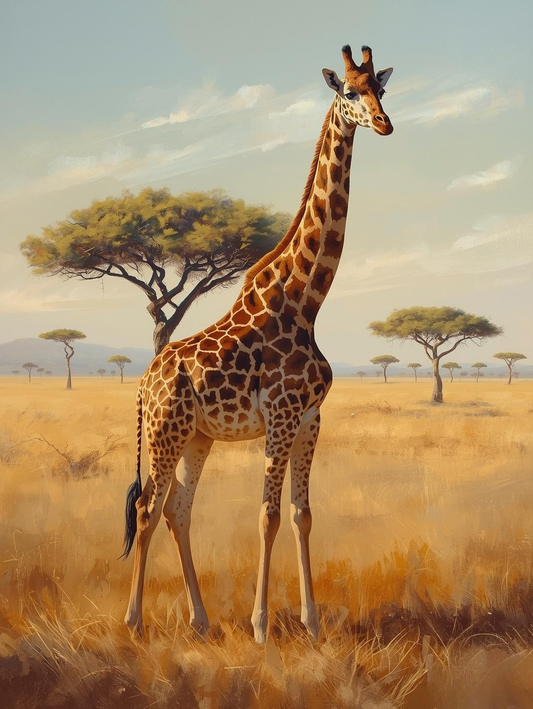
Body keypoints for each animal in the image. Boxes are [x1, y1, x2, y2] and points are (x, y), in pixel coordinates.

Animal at [123, 44, 394, 643]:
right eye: (349, 91)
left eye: (382, 89)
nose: (385, 123)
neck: (307, 299)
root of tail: (145, 384)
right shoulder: (282, 417)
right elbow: (267, 515)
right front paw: (262, 626)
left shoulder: (311, 419)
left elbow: (301, 514)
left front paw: (312, 622)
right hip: (165, 431)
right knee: (150, 507)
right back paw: (133, 621)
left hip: (197, 436)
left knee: (178, 509)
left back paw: (201, 620)